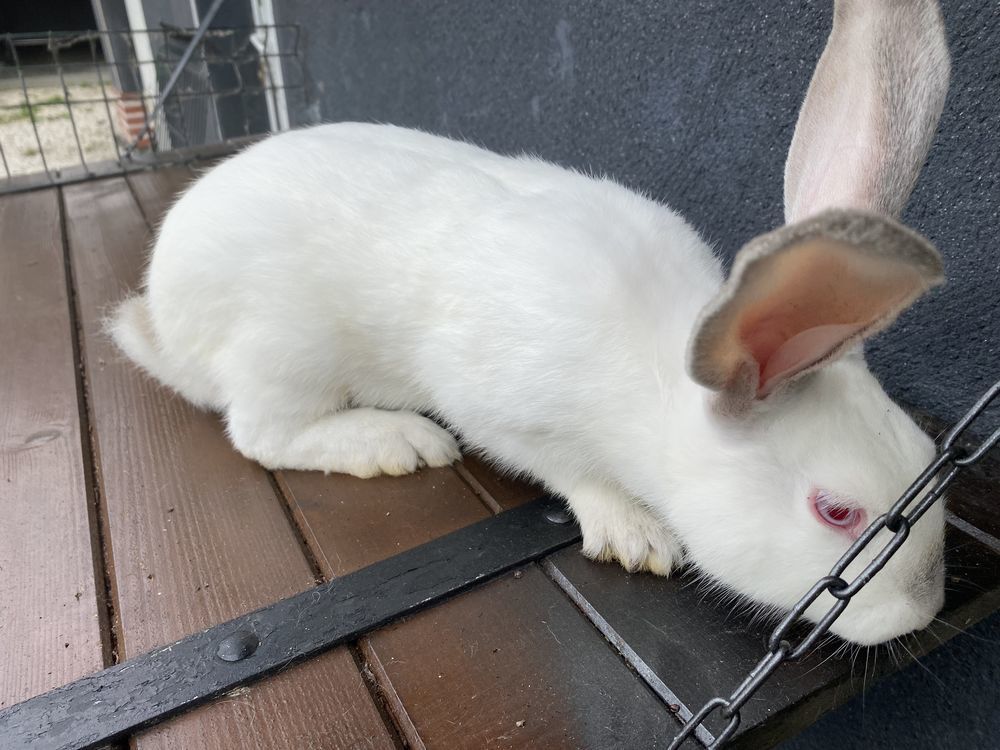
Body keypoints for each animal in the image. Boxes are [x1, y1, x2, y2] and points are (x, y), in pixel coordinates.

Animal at [110, 0, 951, 646]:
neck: (661, 382)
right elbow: (569, 471)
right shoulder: (503, 410)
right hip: (284, 349)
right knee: (261, 434)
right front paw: (636, 533)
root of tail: (163, 316)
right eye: (837, 512)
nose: (921, 612)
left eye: (925, 454)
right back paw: (395, 442)